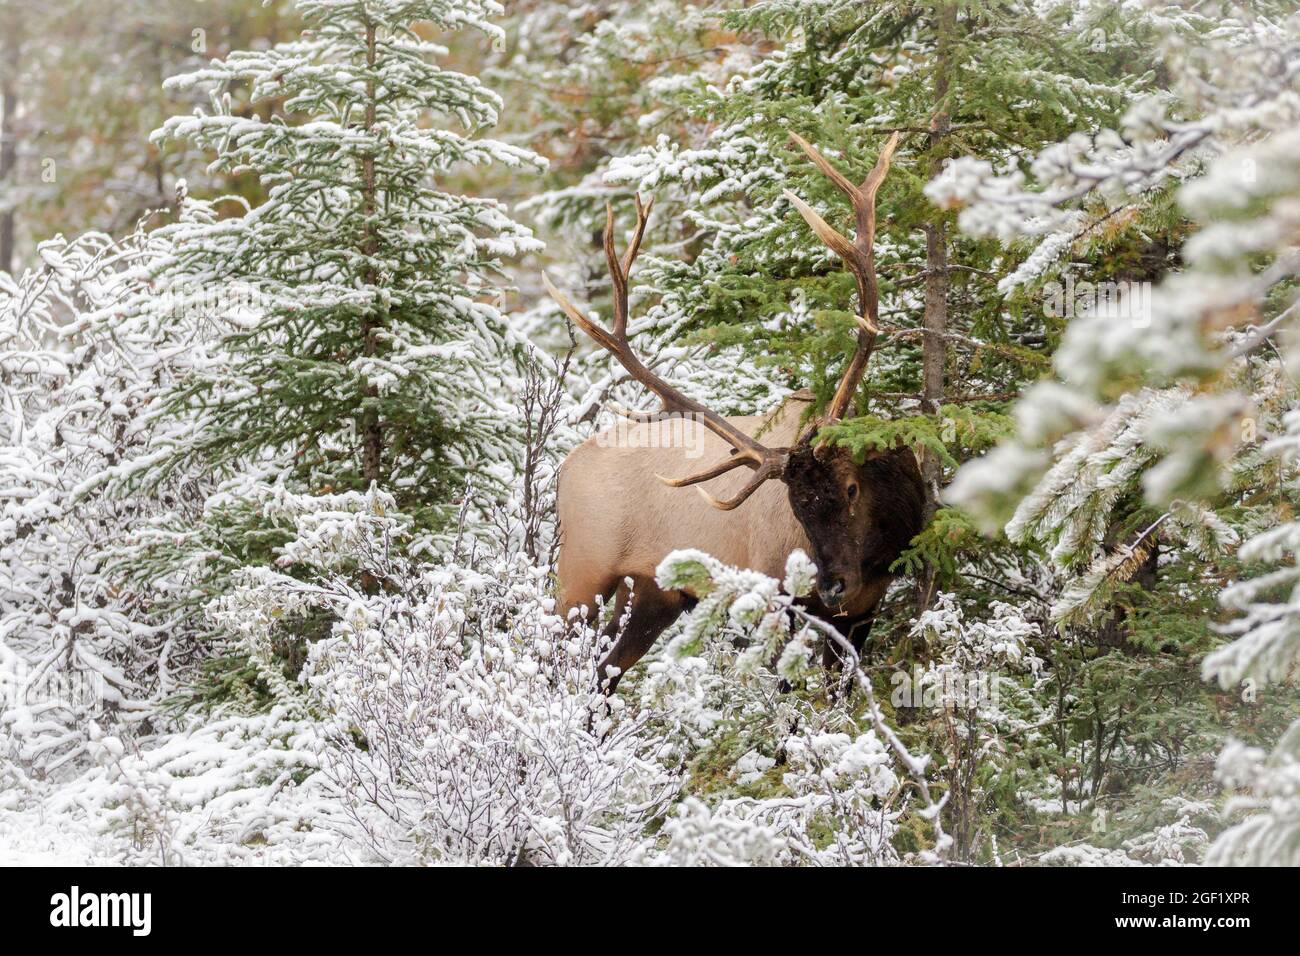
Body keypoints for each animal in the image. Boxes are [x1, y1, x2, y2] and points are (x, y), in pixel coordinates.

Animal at [540, 130, 925, 691]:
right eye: (795, 507)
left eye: (852, 488)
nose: (831, 585)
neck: (880, 548)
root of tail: (564, 470)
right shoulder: (778, 594)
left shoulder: (864, 611)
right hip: (581, 572)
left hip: (653, 590)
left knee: (605, 670)